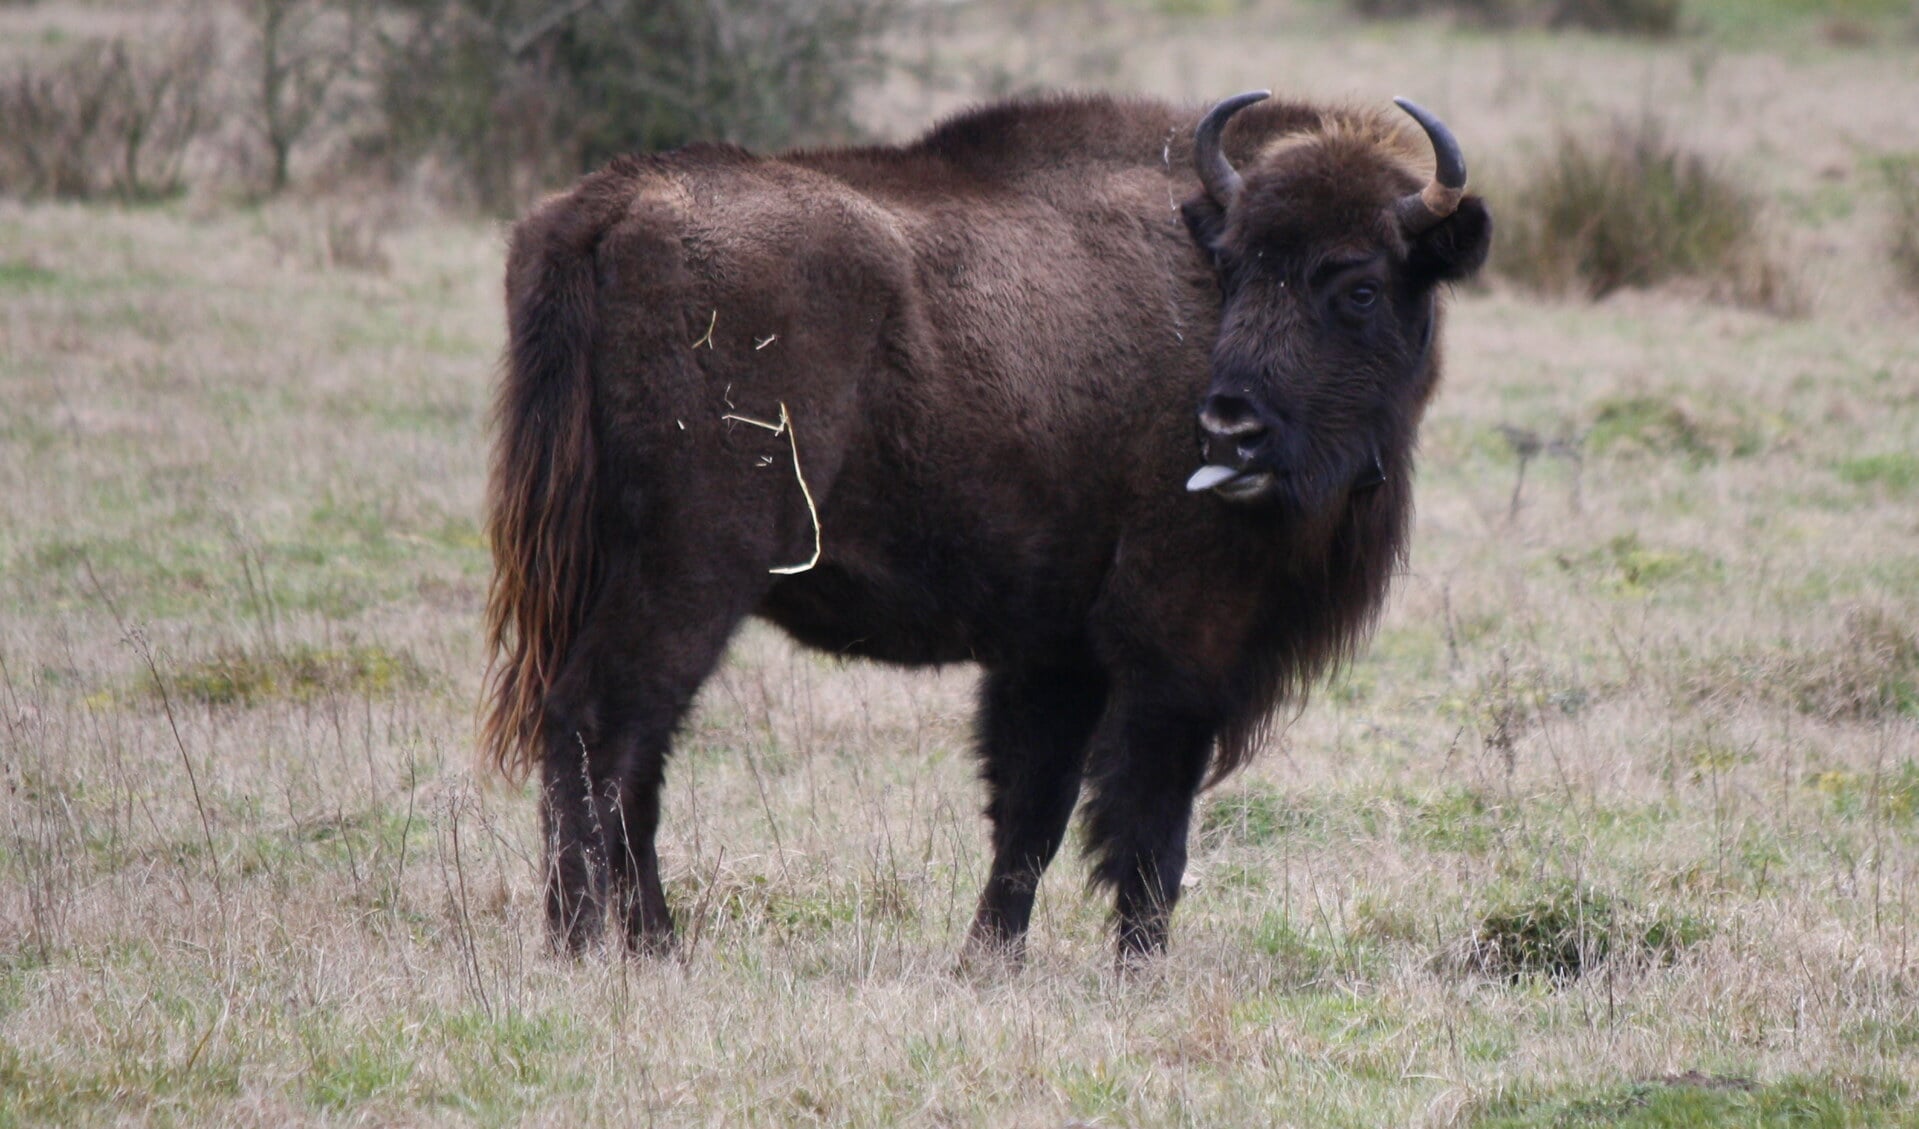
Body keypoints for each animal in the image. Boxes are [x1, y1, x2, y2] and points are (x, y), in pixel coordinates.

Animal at [483, 92, 1496, 967]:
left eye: (1360, 287)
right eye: (1237, 267)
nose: (1228, 428)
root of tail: (612, 203)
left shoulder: (1054, 651)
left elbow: (1031, 816)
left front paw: (988, 959)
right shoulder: (1176, 643)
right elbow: (1146, 827)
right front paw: (1138, 967)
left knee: (632, 755)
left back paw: (649, 946)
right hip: (693, 571)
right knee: (603, 725)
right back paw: (590, 946)